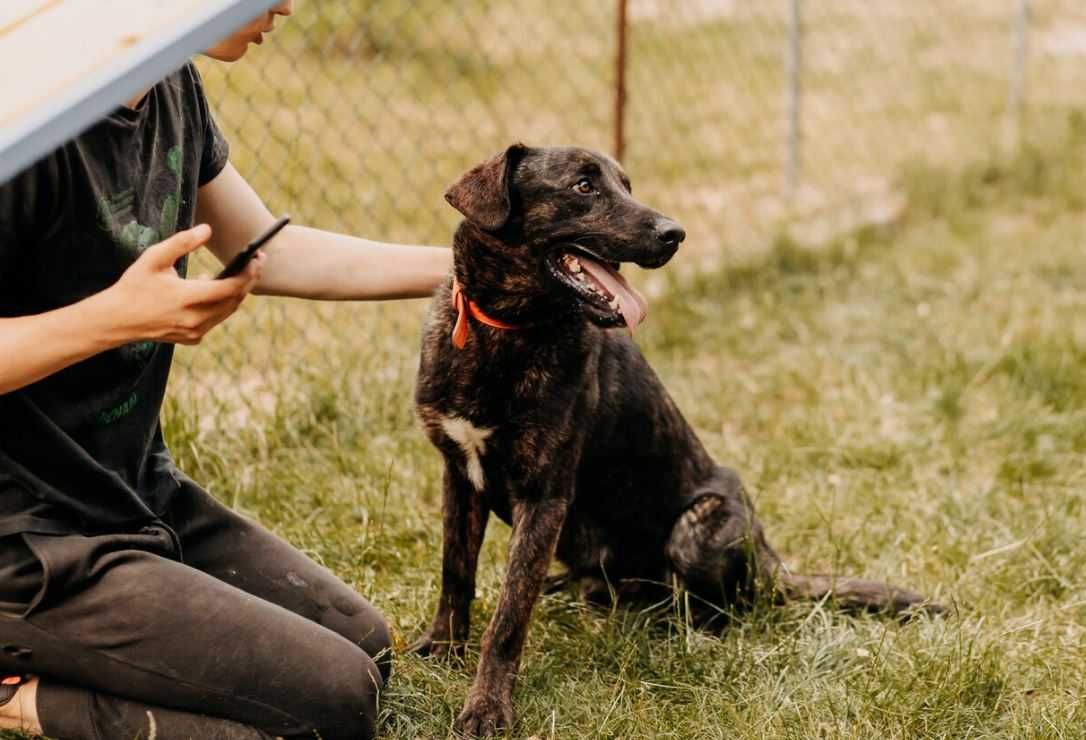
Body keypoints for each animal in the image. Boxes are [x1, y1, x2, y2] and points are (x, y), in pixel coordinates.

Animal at [410, 142, 938, 734]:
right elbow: (456, 573)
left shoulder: (544, 497)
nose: (675, 233)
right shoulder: (459, 475)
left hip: (698, 530)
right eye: (584, 186)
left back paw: (676, 632)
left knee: (723, 608)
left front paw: (487, 706)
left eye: (627, 185)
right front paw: (443, 648)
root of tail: (773, 564)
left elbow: (506, 619)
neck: (503, 330)